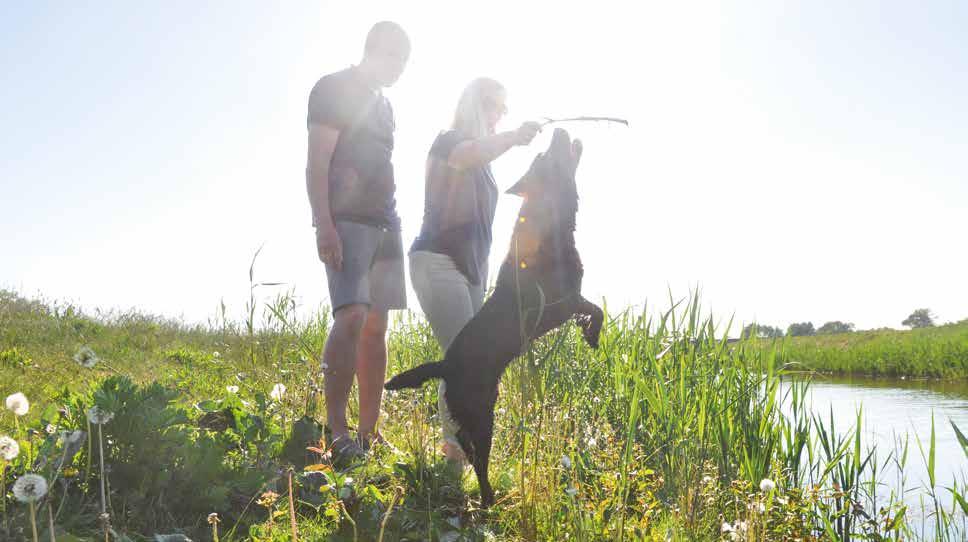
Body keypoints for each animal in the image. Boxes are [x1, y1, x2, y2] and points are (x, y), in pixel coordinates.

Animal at [386, 129, 604, 510]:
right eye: (545, 156)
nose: (558, 130)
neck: (547, 220)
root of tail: (445, 365)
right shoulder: (562, 301)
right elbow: (596, 309)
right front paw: (593, 333)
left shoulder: (567, 302)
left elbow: (592, 309)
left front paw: (588, 333)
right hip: (481, 415)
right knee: (479, 459)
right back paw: (490, 499)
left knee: (469, 449)